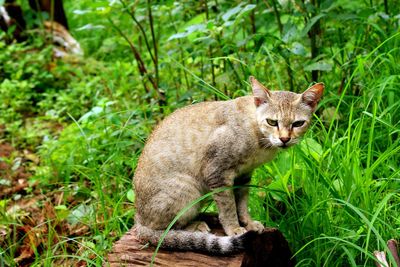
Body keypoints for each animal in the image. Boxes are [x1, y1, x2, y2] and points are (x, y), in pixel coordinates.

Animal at [133, 77, 324, 255]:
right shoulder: (217, 172)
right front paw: (234, 229)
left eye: (298, 123)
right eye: (272, 122)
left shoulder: (244, 175)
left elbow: (241, 203)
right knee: (164, 229)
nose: (285, 139)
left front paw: (248, 223)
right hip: (187, 190)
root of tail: (138, 219)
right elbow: (228, 206)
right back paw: (195, 226)